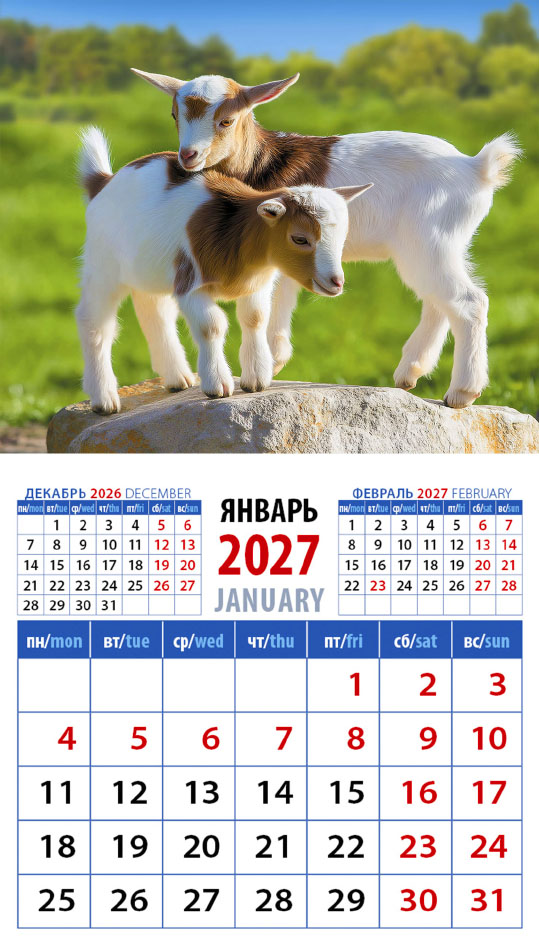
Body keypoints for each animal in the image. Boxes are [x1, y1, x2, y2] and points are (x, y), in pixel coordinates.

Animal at [76, 126, 370, 412]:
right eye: (299, 238)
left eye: (342, 236)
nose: (336, 281)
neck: (235, 230)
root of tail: (104, 181)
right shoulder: (191, 285)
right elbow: (212, 326)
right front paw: (217, 385)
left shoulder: (257, 284)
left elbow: (255, 318)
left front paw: (256, 380)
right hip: (102, 264)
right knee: (95, 323)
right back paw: (104, 400)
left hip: (149, 269)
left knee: (155, 312)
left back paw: (178, 378)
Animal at [133, 68, 521, 408]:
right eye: (175, 114)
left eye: (226, 120)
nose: (188, 156)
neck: (260, 164)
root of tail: (476, 168)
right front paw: (273, 362)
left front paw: (263, 369)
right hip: (442, 245)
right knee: (438, 300)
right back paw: (410, 372)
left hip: (429, 241)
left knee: (469, 302)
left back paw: (461, 393)